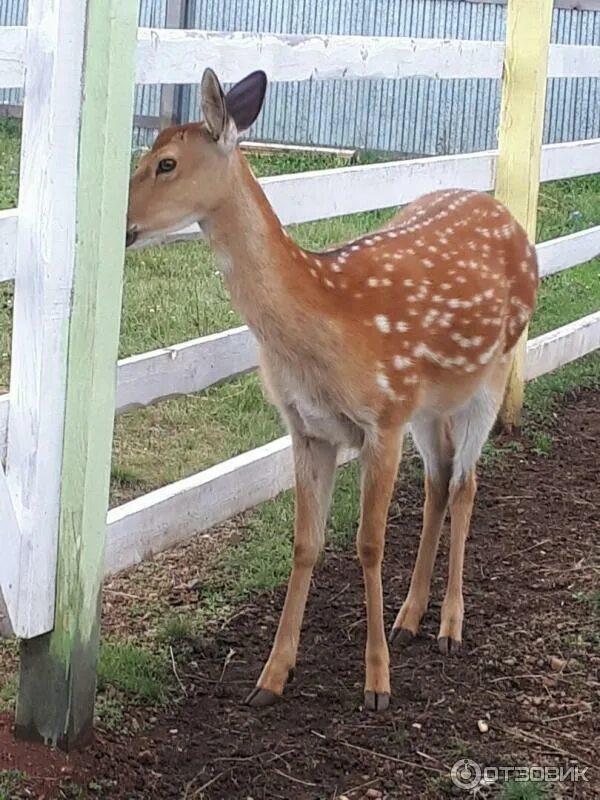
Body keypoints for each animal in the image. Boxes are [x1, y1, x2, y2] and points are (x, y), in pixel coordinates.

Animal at [125, 67, 540, 708]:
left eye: (165, 163)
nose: (120, 226)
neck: (325, 321)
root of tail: (512, 220)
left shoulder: (383, 418)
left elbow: (368, 543)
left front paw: (377, 682)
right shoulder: (307, 428)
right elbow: (305, 543)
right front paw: (272, 676)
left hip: (490, 374)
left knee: (466, 483)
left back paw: (449, 625)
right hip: (428, 405)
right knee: (439, 480)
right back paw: (410, 616)